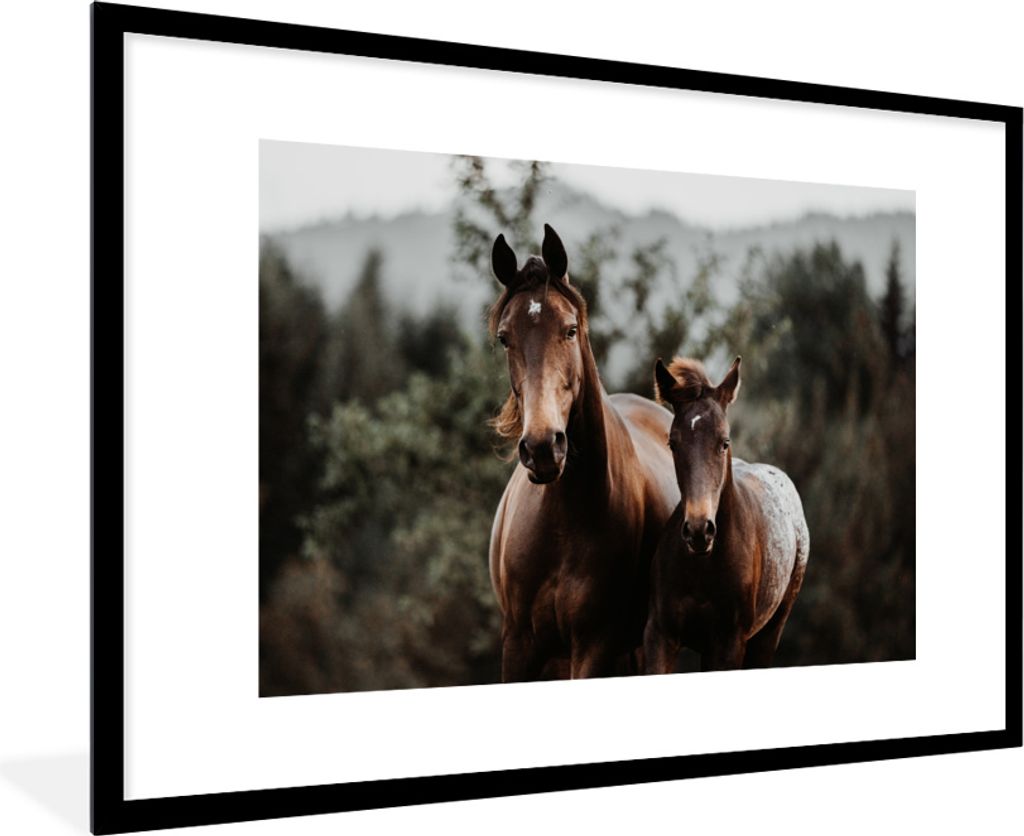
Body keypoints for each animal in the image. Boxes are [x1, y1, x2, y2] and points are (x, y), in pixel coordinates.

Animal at [487, 224, 680, 681]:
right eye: (505, 338)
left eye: (570, 329)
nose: (542, 447)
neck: (563, 517)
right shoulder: (517, 644)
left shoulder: (594, 646)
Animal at [644, 356, 809, 672]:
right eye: (673, 443)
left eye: (724, 442)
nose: (699, 531)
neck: (703, 565)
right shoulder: (660, 635)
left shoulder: (727, 644)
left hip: (768, 633)